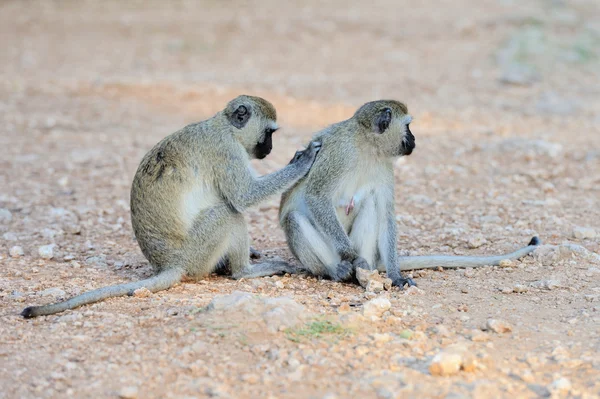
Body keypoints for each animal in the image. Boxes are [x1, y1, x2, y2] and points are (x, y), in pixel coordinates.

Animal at [22, 94, 324, 318]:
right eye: (269, 133)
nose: (269, 149)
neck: (225, 127)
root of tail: (170, 263)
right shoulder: (226, 151)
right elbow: (244, 197)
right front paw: (302, 160)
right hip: (197, 253)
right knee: (228, 214)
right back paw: (243, 271)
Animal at [278, 100, 540, 288]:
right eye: (408, 126)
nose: (414, 139)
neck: (367, 146)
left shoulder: (385, 167)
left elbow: (385, 214)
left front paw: (396, 275)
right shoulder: (339, 153)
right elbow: (317, 196)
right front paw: (351, 256)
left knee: (372, 204)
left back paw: (365, 271)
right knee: (294, 219)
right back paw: (338, 270)